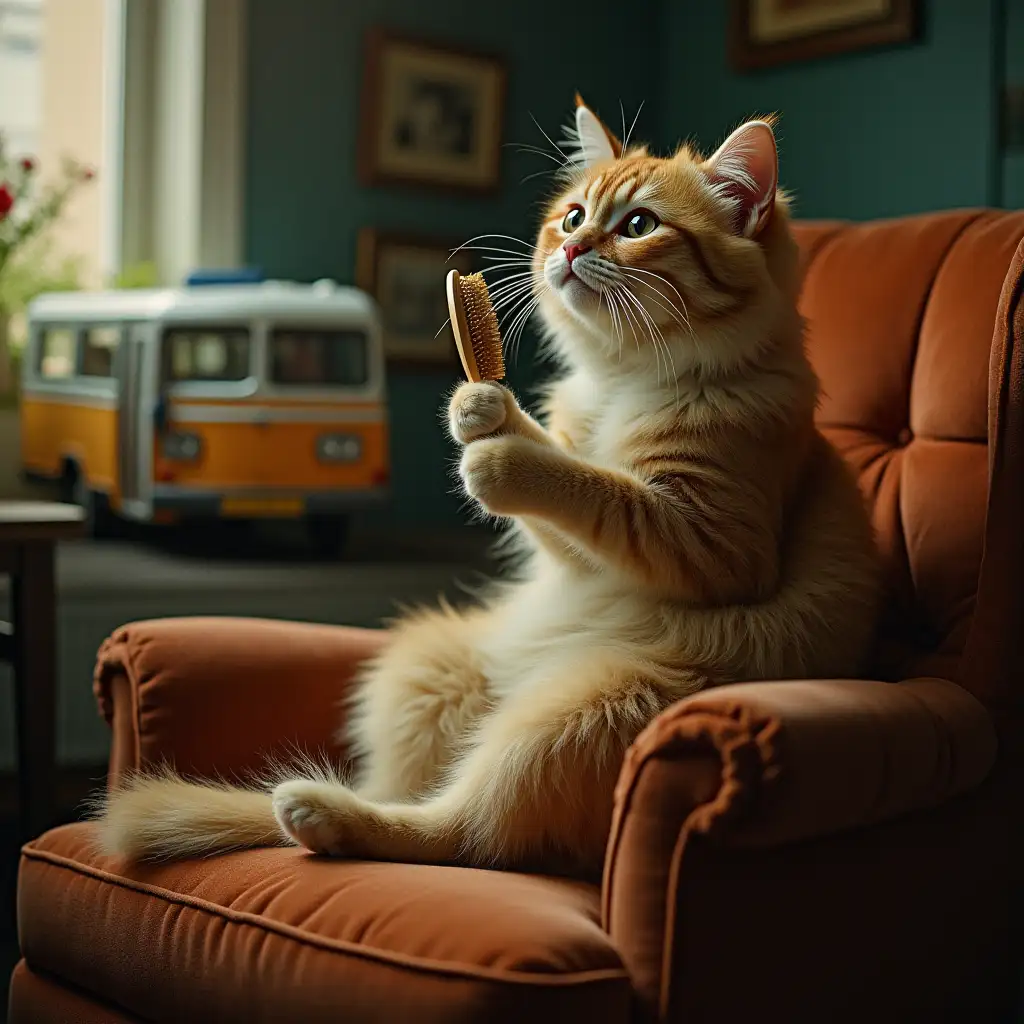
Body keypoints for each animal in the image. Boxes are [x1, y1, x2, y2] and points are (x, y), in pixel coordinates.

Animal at [97, 99, 880, 876]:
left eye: (638, 226)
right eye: (573, 216)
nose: (572, 250)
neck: (623, 378)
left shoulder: (717, 544)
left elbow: (600, 490)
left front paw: (501, 461)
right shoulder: (578, 546)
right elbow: (565, 481)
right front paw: (484, 410)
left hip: (587, 711)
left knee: (459, 833)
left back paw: (323, 814)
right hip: (431, 666)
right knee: (423, 797)